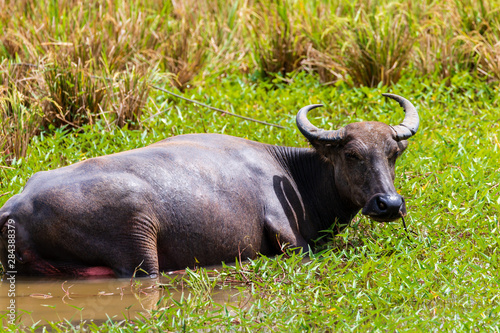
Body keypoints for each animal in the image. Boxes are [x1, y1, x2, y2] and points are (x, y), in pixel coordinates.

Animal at [0, 93, 418, 278]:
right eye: (352, 154)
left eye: (394, 153)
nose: (389, 204)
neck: (294, 176)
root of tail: (17, 206)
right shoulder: (290, 240)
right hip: (139, 238)